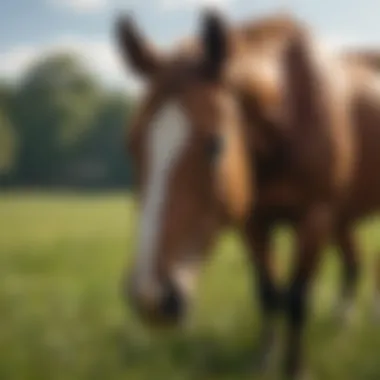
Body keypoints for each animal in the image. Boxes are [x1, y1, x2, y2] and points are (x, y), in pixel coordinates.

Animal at [116, 10, 380, 378]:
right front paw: (263, 361)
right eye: (132, 144)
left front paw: (294, 368)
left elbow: (297, 299)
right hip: (343, 219)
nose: (150, 297)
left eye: (216, 144)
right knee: (353, 263)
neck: (290, 106)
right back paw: (343, 322)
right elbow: (268, 293)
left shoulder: (315, 218)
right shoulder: (254, 222)